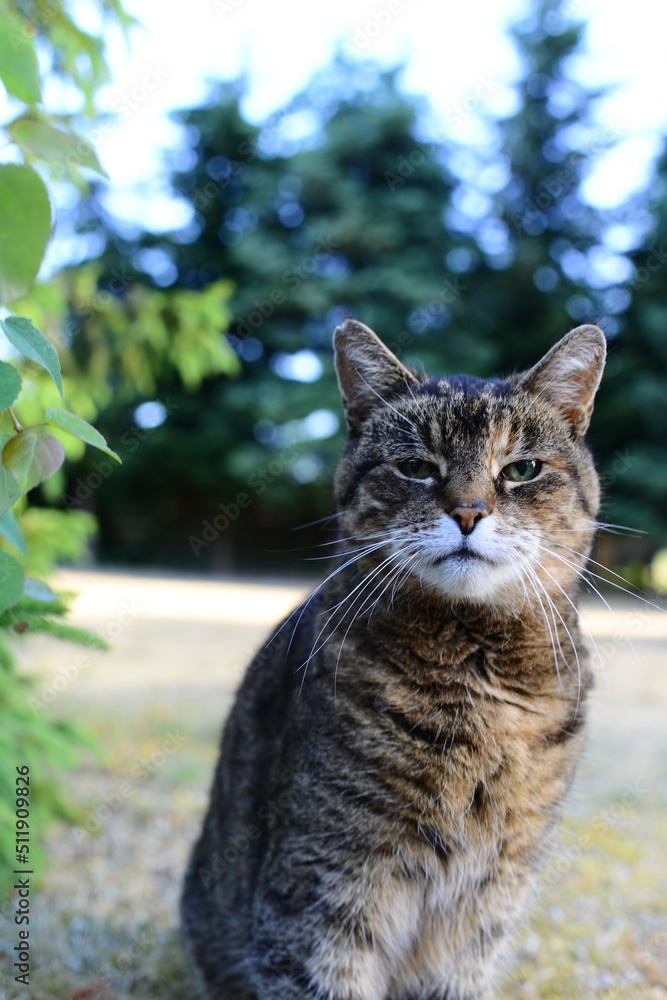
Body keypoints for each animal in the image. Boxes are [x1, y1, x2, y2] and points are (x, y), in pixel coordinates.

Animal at [180, 320, 608, 1000]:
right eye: (415, 467)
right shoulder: (323, 889)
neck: (475, 675)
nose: (468, 512)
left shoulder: (486, 909)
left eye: (521, 469)